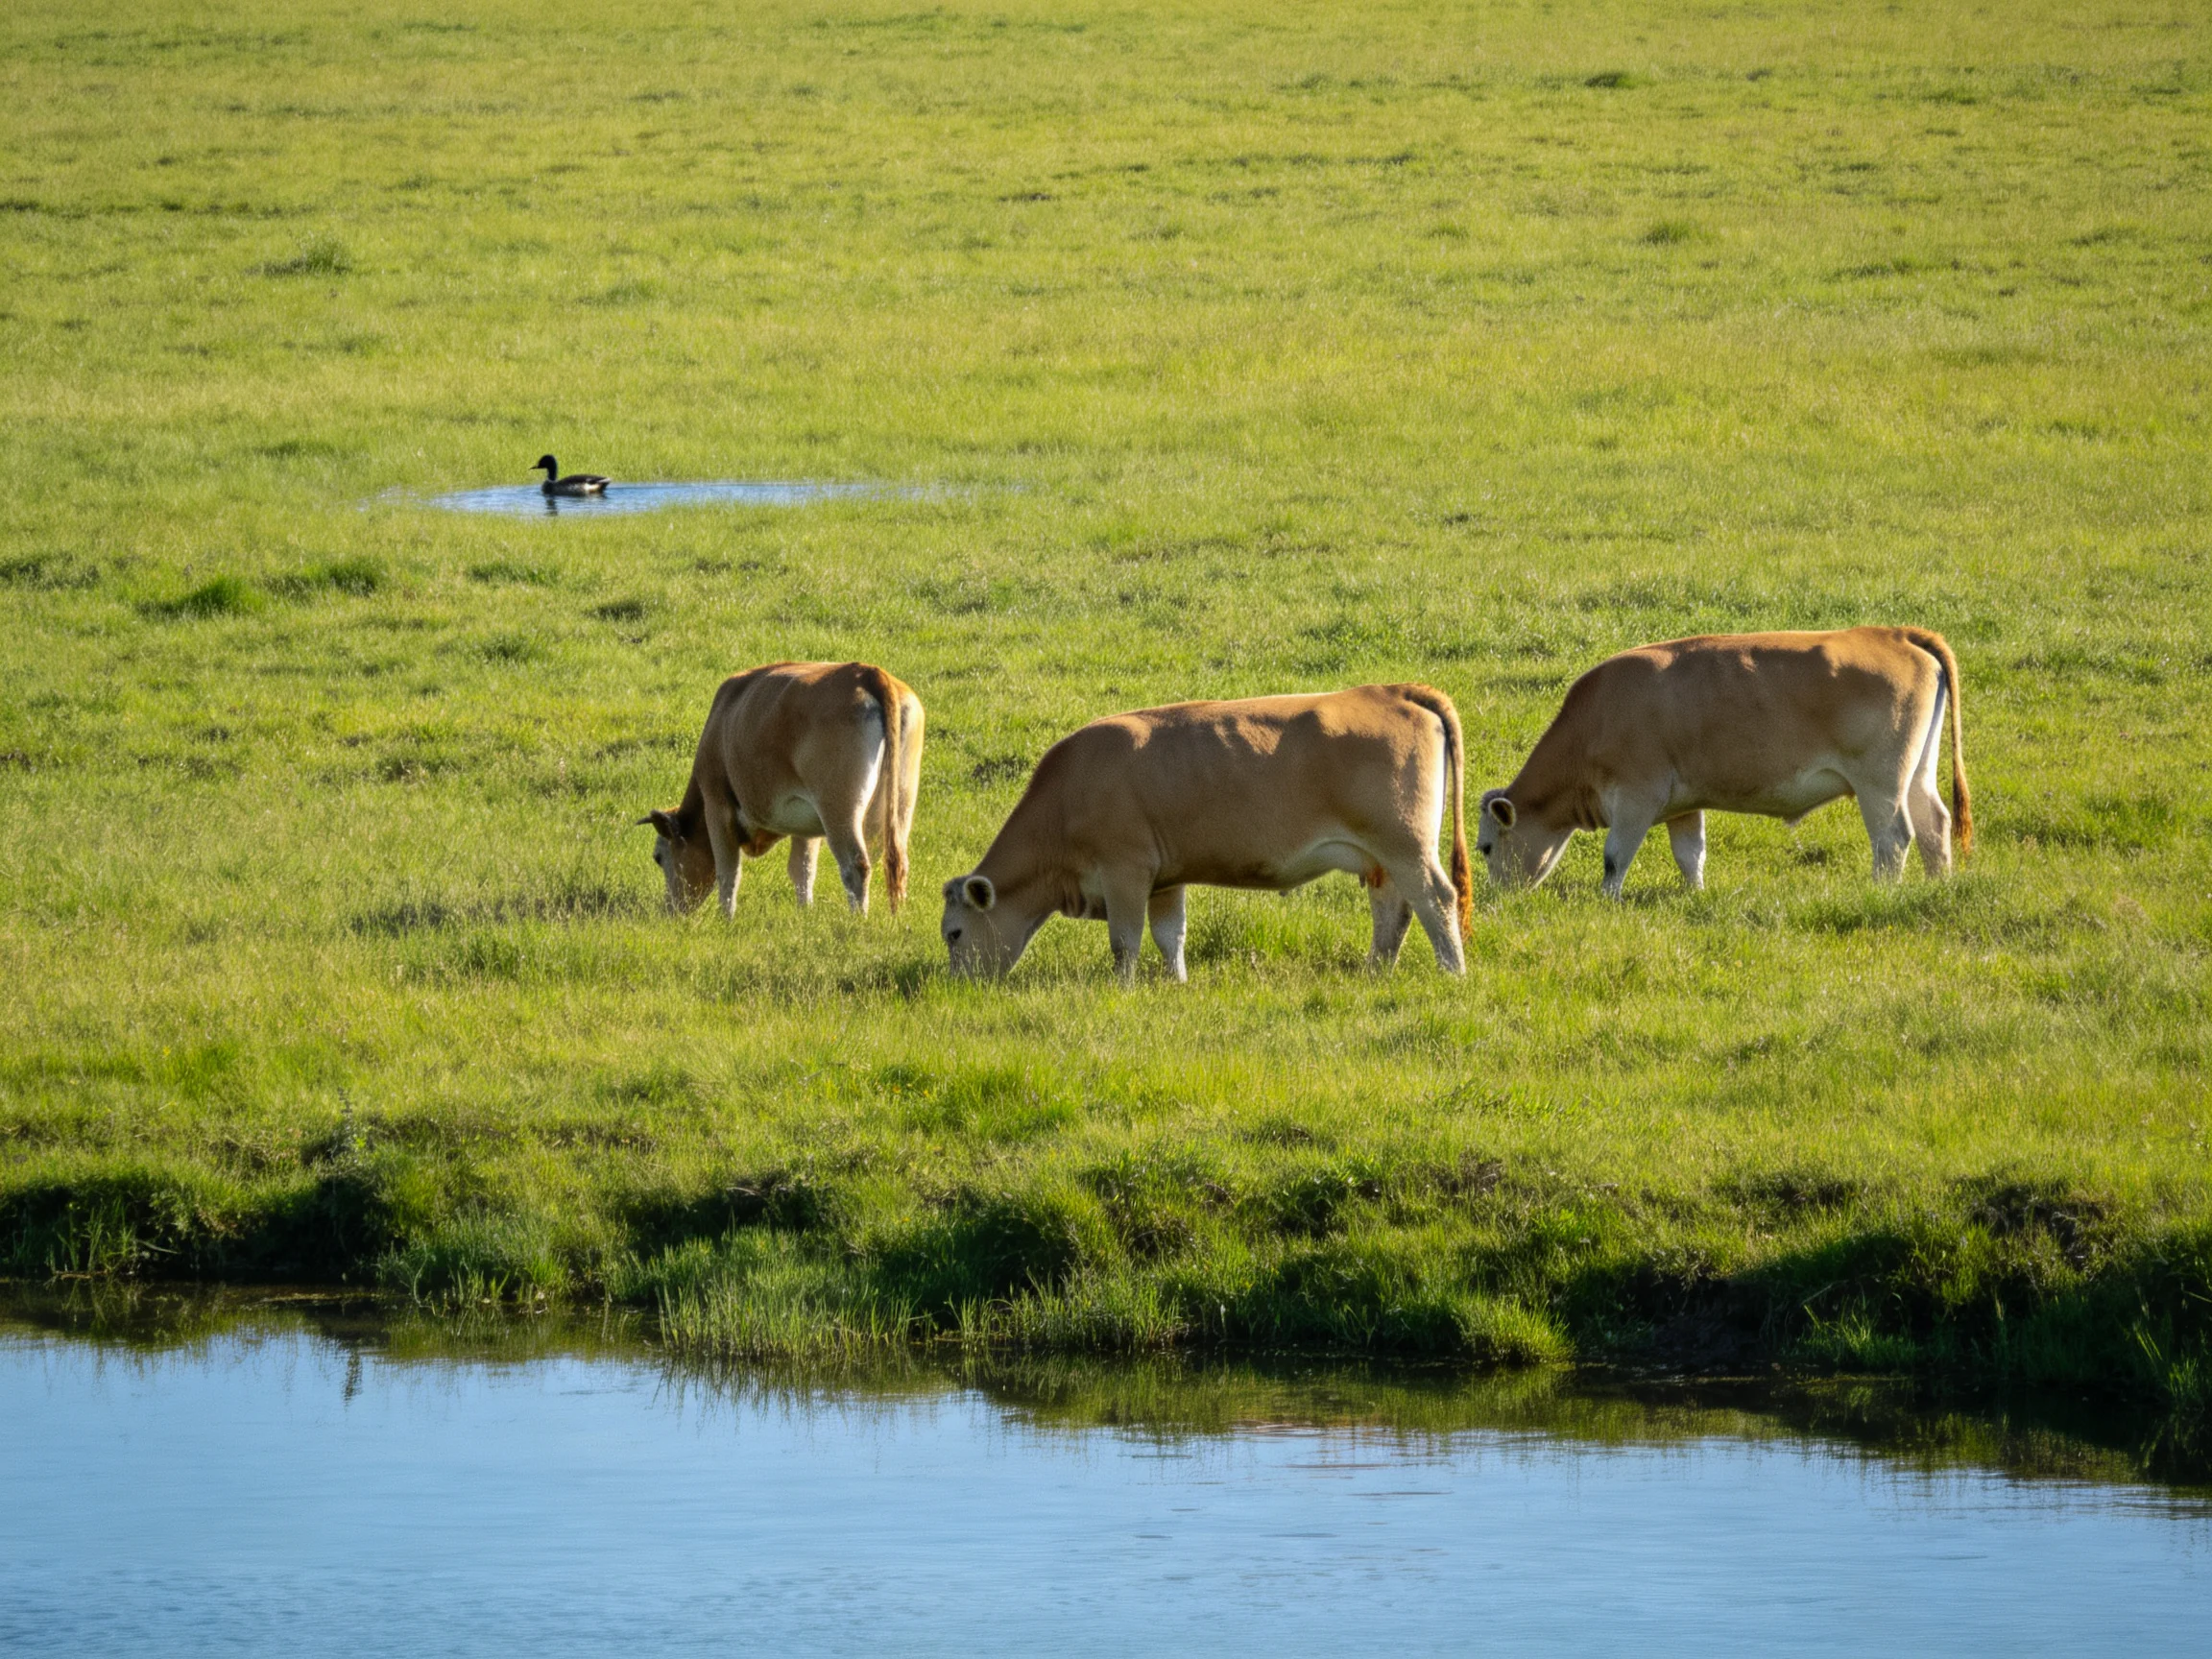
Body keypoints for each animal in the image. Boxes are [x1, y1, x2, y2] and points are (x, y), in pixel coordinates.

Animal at [640, 661, 923, 917]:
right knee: (895, 860)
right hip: (899, 803)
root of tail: (865, 672)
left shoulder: (716, 804)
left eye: (658, 857)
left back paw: (858, 921)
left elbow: (728, 871)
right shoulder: (807, 825)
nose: (669, 911)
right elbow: (802, 869)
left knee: (857, 865)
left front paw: (726, 919)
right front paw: (804, 914)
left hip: (839, 808)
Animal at [940, 685, 1471, 983]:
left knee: (1436, 899)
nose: (957, 985)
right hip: (1380, 856)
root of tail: (1391, 690)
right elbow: (1169, 936)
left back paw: (1453, 972)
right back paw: (1376, 971)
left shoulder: (1125, 871)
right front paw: (1176, 983)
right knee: (1393, 909)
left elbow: (1125, 940)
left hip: (1405, 845)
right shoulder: (1165, 878)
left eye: (954, 933)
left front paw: (1121, 988)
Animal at [1475, 627, 1971, 896]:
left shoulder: (1637, 797)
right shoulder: (1682, 805)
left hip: (1880, 782)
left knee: (1893, 838)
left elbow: (1615, 857)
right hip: (1917, 775)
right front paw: (1694, 895)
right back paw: (1937, 883)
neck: (1594, 719)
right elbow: (1690, 855)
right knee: (1934, 823)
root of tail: (1894, 633)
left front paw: (1607, 901)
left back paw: (1881, 889)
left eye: (1484, 848)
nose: (1498, 899)